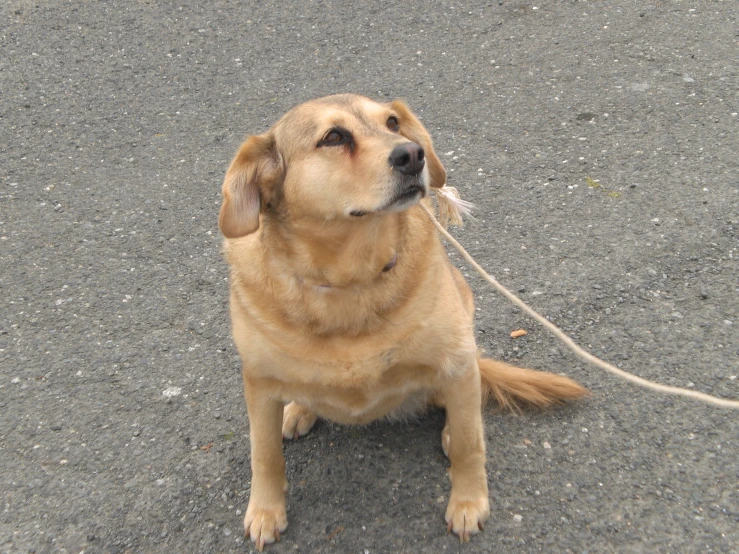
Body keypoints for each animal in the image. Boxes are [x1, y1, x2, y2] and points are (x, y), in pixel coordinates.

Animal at [217, 95, 588, 548]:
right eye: (333, 137)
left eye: (392, 123)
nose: (413, 154)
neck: (350, 281)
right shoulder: (257, 382)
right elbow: (265, 455)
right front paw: (266, 511)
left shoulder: (456, 362)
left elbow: (469, 445)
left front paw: (468, 501)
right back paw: (299, 409)